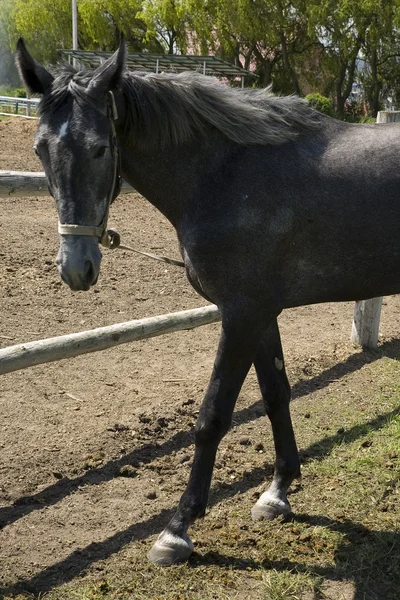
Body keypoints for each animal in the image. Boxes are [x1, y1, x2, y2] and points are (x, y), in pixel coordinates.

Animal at [16, 38, 400, 568]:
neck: (226, 174)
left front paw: (177, 529)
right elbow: (276, 394)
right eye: (40, 150)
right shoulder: (261, 314)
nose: (76, 268)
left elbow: (212, 417)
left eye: (99, 148)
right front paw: (277, 491)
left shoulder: (241, 315)